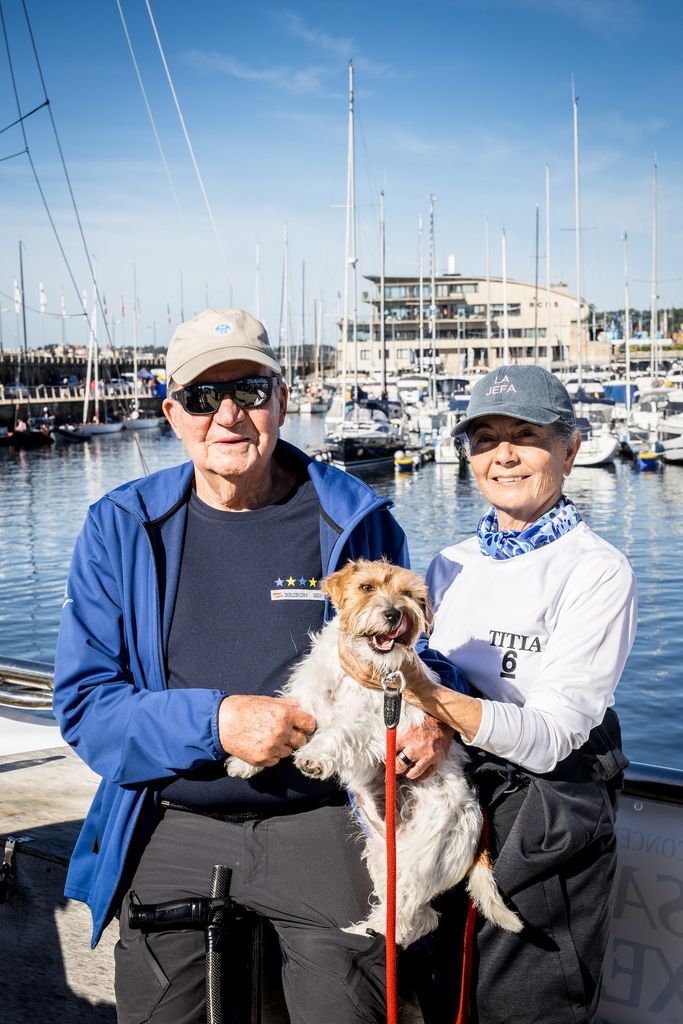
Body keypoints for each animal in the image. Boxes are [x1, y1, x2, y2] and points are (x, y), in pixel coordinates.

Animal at [227, 557, 520, 946]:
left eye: (408, 594)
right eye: (366, 587)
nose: (395, 614)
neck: (363, 666)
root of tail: (478, 834)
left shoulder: (373, 721)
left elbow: (339, 732)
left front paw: (313, 759)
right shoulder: (309, 701)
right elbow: (286, 718)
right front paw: (246, 758)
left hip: (418, 859)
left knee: (413, 916)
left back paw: (377, 933)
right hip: (385, 856)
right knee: (419, 914)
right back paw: (367, 928)